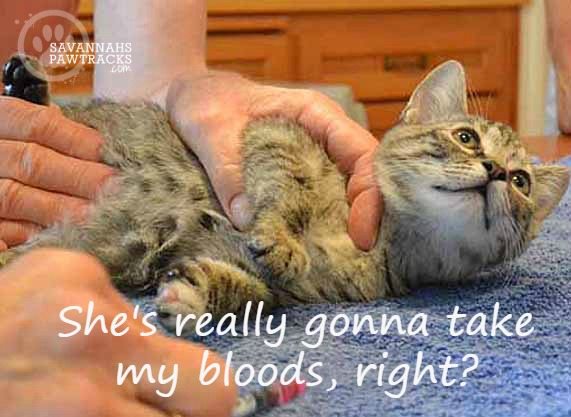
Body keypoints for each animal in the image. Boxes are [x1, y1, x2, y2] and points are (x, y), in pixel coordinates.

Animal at [1, 55, 568, 335]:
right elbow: (286, 195)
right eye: (467, 137)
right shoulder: (281, 136)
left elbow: (252, 292)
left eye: (521, 181)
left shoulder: (285, 287)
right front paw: (283, 239)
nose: (496, 170)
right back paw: (26, 84)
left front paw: (192, 294)